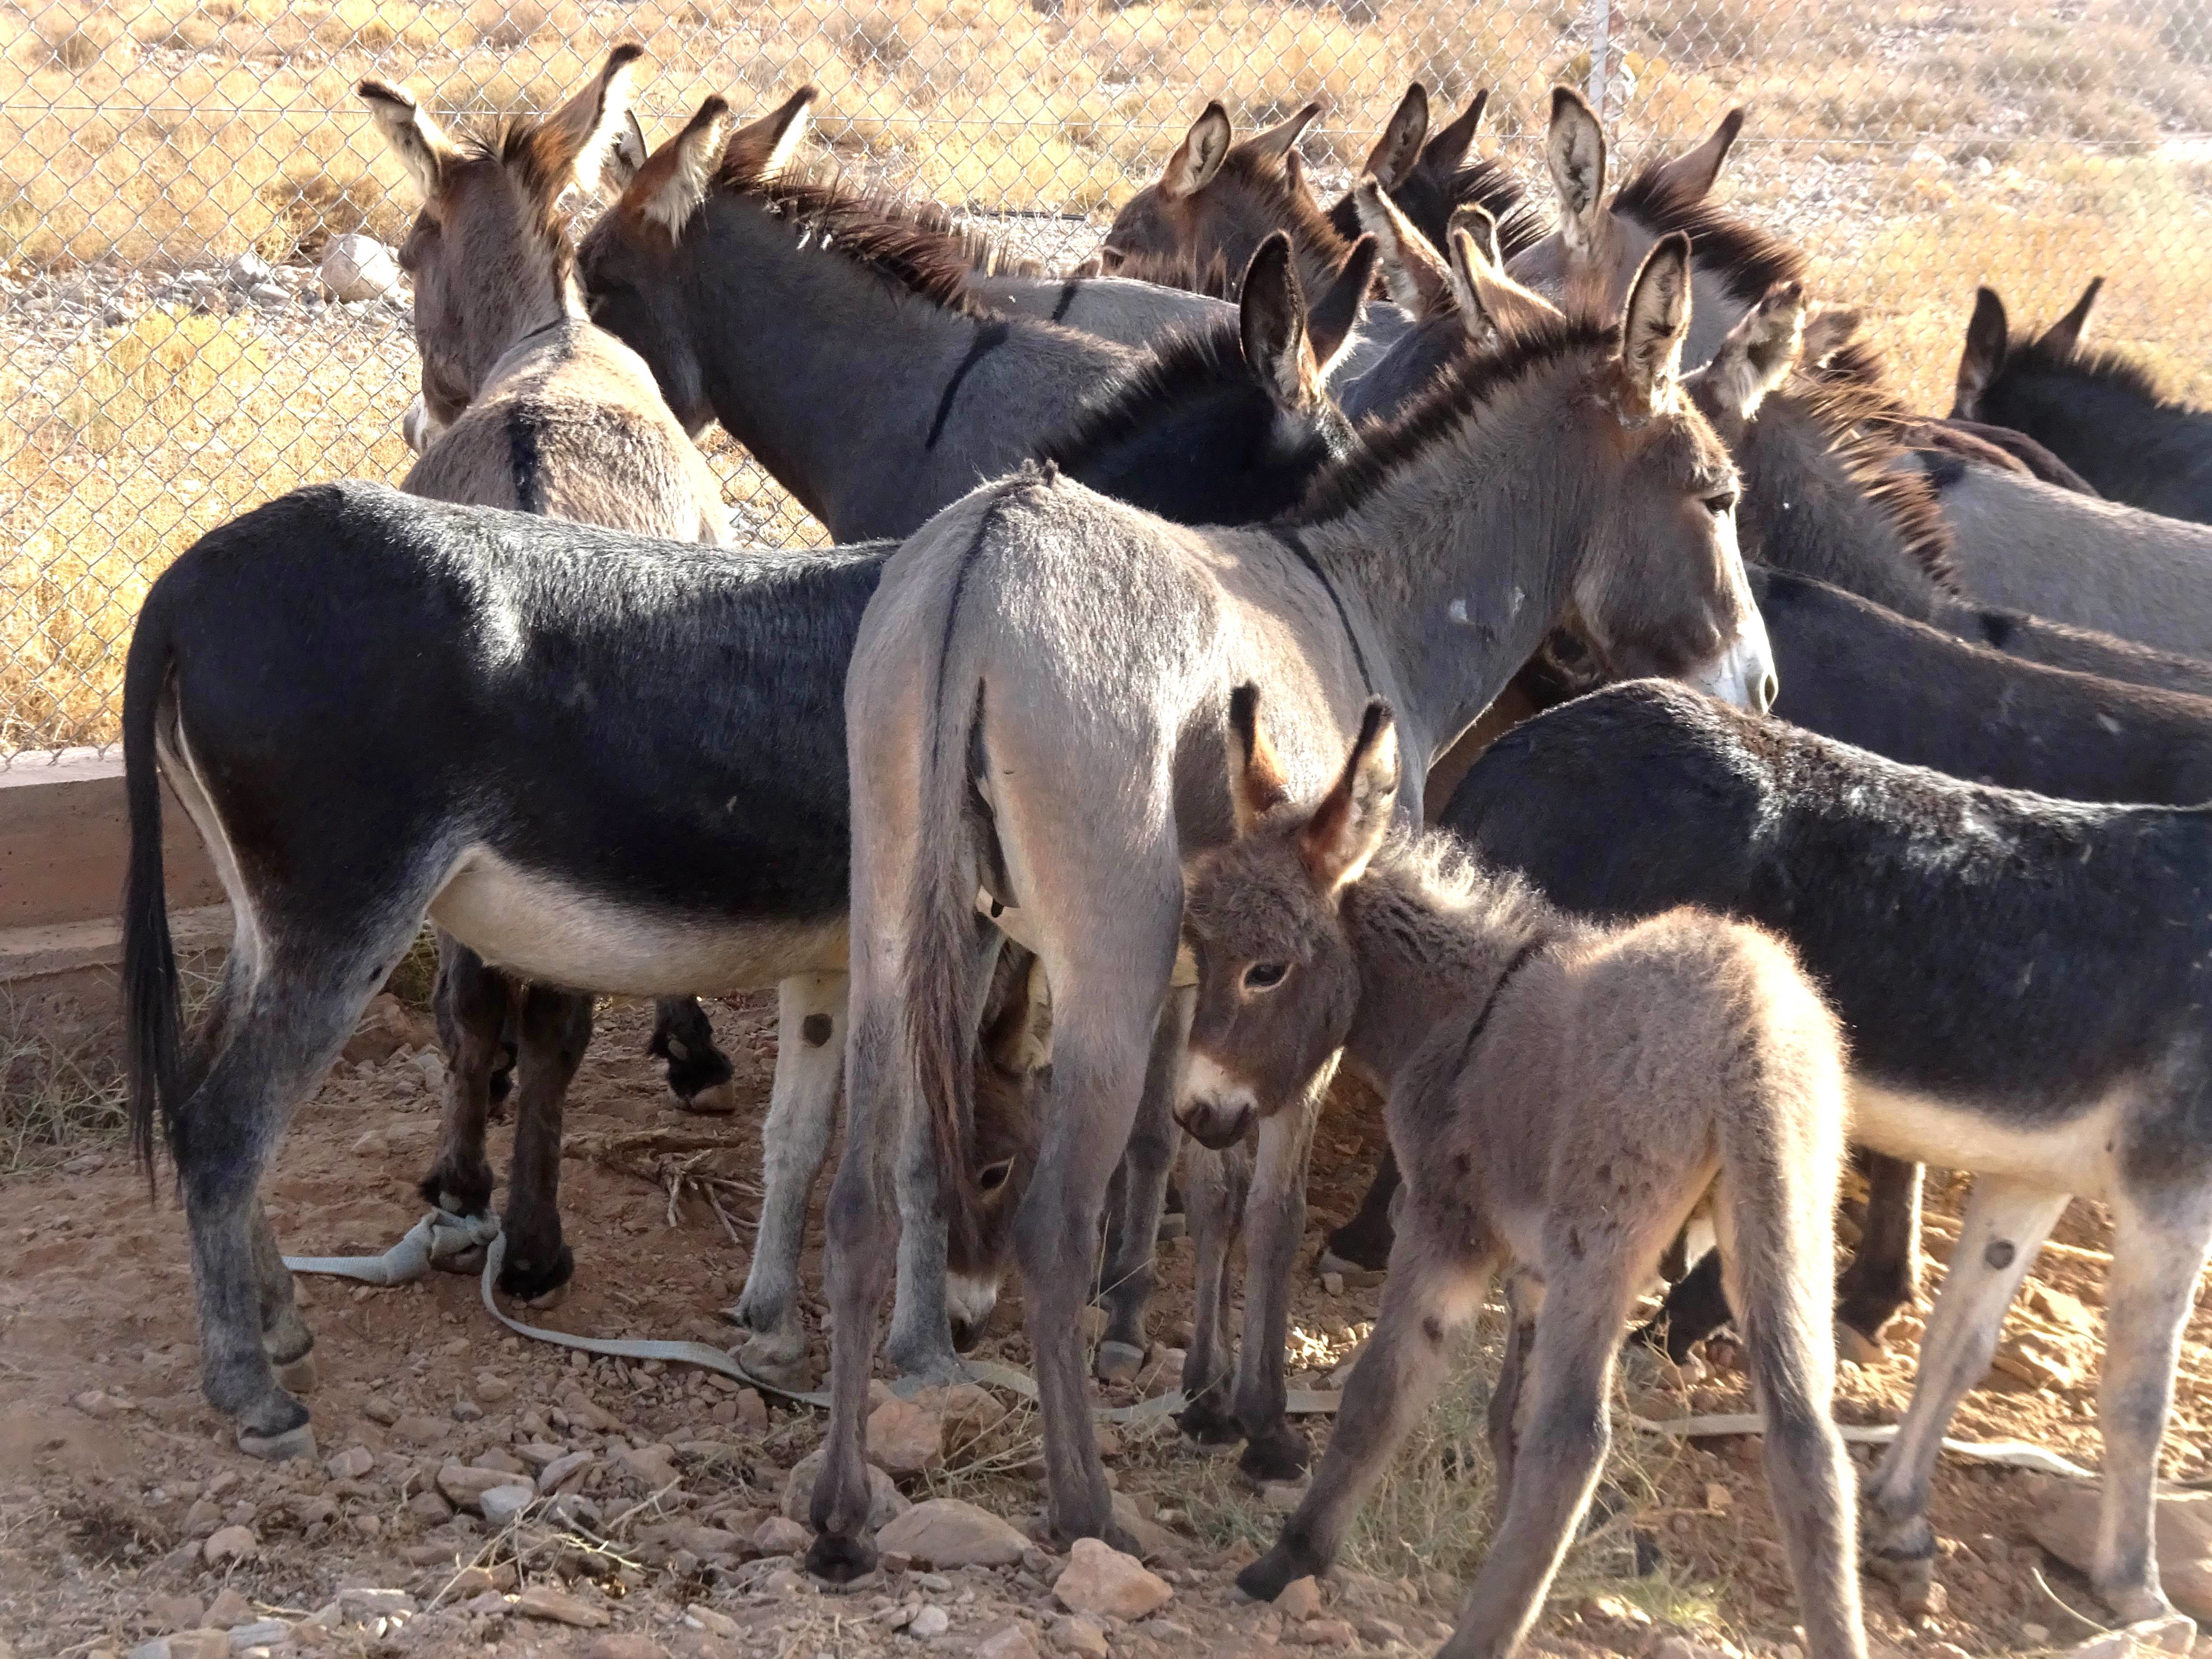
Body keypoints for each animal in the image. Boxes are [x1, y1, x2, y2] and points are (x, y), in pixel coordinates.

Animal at [1194, 690, 1867, 1659]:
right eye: (1196, 949)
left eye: (1266, 970)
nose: (1197, 1114)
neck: (1460, 1012)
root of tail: (1748, 1021)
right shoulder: (1535, 1272)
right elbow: (1501, 1418)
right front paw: (1512, 1568)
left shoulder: (1445, 1222)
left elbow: (1382, 1390)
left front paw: (1295, 1556)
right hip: (1789, 1216)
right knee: (1809, 1443)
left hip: (1607, 1237)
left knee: (1573, 1441)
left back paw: (1470, 1644)